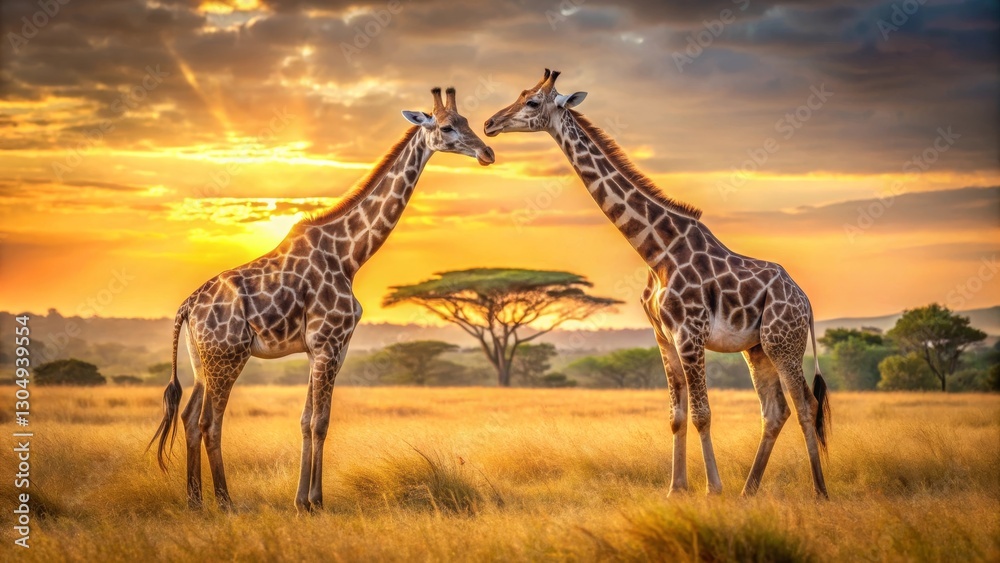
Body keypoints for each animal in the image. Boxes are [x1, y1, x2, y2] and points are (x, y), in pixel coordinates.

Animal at [150, 87, 495, 512]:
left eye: (467, 122)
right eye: (447, 127)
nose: (487, 152)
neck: (350, 255)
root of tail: (187, 307)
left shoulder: (328, 348)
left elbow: (307, 420)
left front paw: (303, 499)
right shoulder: (328, 342)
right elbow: (319, 421)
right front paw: (315, 501)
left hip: (202, 360)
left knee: (188, 417)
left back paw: (195, 501)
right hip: (228, 356)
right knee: (209, 422)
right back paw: (226, 502)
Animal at [485, 70, 831, 498]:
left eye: (532, 102)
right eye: (521, 95)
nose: (490, 124)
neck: (655, 252)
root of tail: (806, 301)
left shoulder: (689, 333)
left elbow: (701, 413)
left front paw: (712, 489)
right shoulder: (663, 336)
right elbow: (676, 416)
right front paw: (676, 488)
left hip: (784, 342)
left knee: (805, 406)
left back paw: (819, 492)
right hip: (758, 348)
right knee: (775, 410)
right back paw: (748, 491)